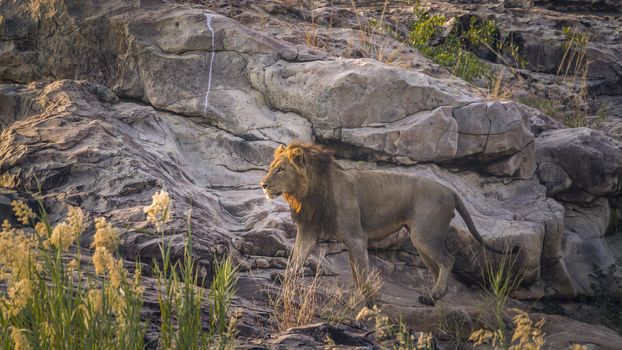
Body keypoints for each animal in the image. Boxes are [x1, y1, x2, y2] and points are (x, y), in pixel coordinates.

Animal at [260, 142, 520, 304]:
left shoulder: (356, 236)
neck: (308, 194)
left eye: (281, 170)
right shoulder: (308, 230)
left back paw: (433, 296)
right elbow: (297, 257)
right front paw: (284, 277)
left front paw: (369, 297)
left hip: (425, 235)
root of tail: (450, 190)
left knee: (448, 260)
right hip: (421, 240)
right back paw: (434, 295)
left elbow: (361, 269)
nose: (263, 184)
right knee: (438, 266)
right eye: (271, 168)